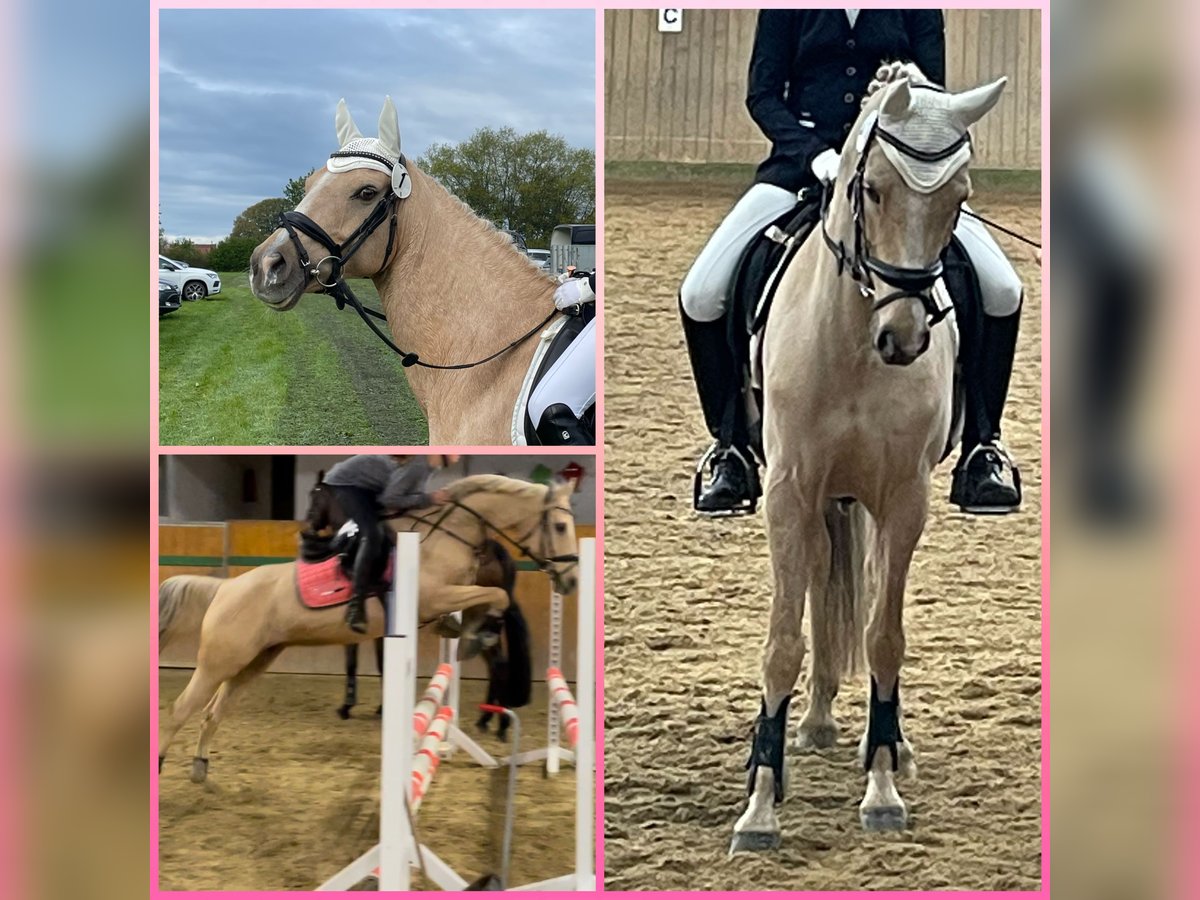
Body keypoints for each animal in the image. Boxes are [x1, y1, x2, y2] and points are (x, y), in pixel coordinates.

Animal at [157, 480, 578, 782]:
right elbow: (495, 597)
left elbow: (491, 600)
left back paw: (200, 767)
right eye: (559, 526)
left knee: (212, 712)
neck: (448, 536)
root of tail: (225, 588)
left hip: (253, 662)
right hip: (219, 662)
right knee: (181, 709)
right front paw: (477, 633)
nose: (571, 579)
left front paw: (473, 630)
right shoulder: (433, 597)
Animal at [729, 72, 1012, 854]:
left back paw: (882, 742)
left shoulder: (904, 499)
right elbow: (782, 642)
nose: (905, 337)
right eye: (874, 189)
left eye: (959, 198)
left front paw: (882, 787)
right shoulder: (789, 493)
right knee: (822, 583)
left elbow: (885, 638)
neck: (856, 340)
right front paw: (760, 804)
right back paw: (814, 722)